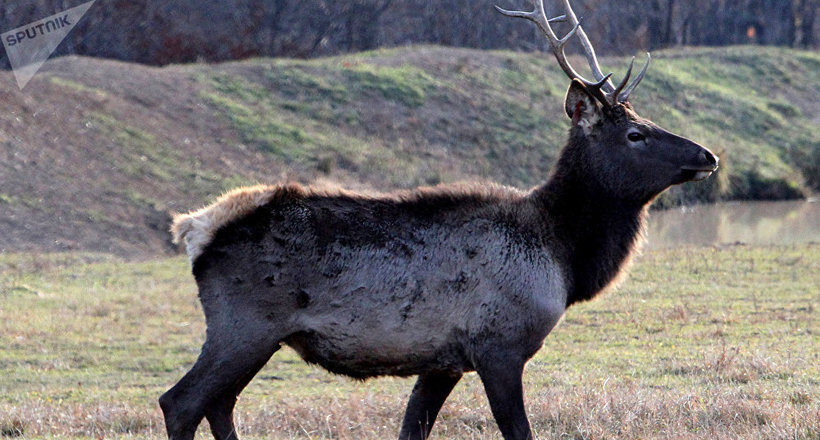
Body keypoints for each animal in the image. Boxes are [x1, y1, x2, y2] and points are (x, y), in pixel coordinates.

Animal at [159, 0, 716, 440]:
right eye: (635, 134)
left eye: (645, 120)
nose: (708, 155)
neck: (563, 257)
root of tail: (194, 228)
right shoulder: (498, 344)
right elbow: (518, 431)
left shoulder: (444, 360)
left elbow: (412, 428)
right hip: (243, 324)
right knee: (180, 402)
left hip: (255, 334)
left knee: (220, 405)